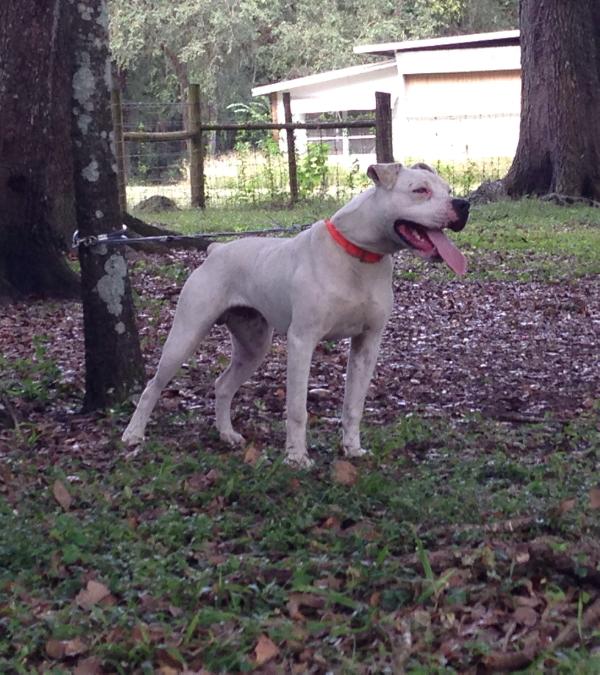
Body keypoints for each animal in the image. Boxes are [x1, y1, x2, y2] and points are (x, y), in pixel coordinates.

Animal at [122, 165, 468, 470]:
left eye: (449, 190)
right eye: (420, 191)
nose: (463, 204)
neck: (358, 255)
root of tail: (216, 250)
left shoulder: (367, 344)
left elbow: (353, 405)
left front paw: (352, 448)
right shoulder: (303, 341)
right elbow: (298, 408)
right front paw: (297, 458)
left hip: (253, 348)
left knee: (223, 385)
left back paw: (227, 434)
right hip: (186, 334)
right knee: (153, 385)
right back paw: (133, 434)